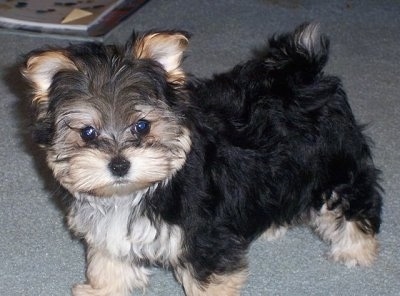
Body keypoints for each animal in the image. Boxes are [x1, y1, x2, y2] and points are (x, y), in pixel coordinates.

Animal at [21, 23, 382, 296]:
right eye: (88, 133)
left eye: (142, 126)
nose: (119, 165)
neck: (144, 189)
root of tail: (302, 73)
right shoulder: (109, 229)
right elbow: (108, 262)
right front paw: (103, 289)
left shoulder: (204, 235)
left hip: (335, 160)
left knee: (353, 198)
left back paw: (355, 250)